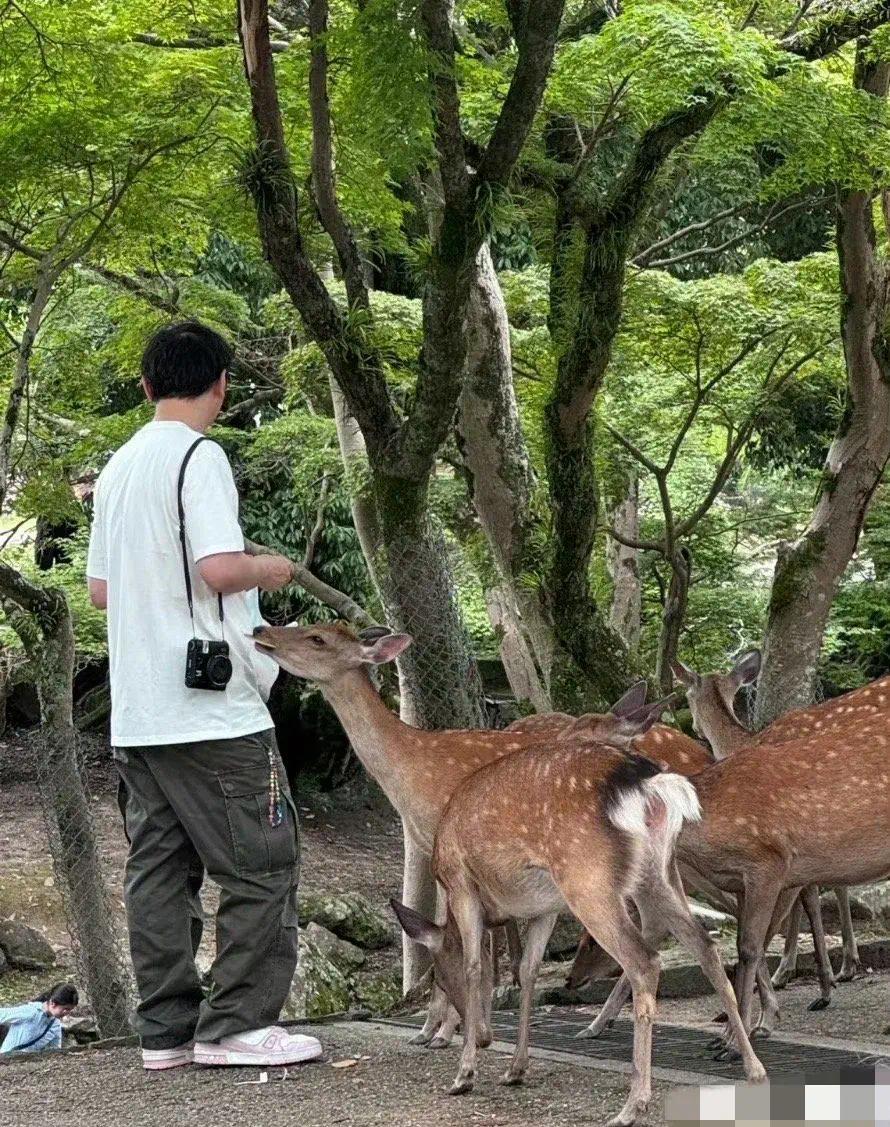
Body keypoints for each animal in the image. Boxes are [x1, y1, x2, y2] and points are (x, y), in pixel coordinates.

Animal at [396, 694, 766, 1127]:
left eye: (437, 975)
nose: (486, 1039)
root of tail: (651, 786)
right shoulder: (545, 907)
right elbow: (527, 970)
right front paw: (515, 1069)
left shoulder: (461, 885)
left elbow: (476, 967)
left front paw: (464, 1074)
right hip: (659, 873)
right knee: (705, 945)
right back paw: (753, 1069)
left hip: (588, 879)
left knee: (644, 961)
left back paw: (633, 1104)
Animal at [671, 649, 887, 1009]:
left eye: (686, 694)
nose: (696, 730)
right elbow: (823, 891)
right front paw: (836, 972)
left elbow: (803, 902)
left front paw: (793, 977)